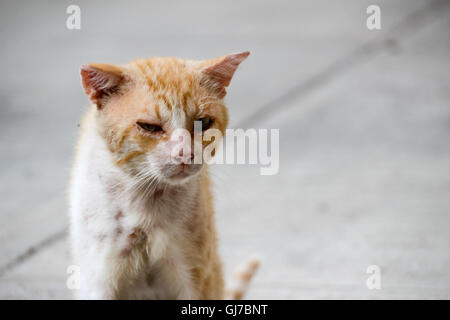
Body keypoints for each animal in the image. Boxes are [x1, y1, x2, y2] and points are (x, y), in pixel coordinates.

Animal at [68, 51, 258, 298]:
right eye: (149, 127)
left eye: (203, 122)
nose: (185, 153)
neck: (146, 197)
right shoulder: (99, 276)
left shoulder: (194, 277)